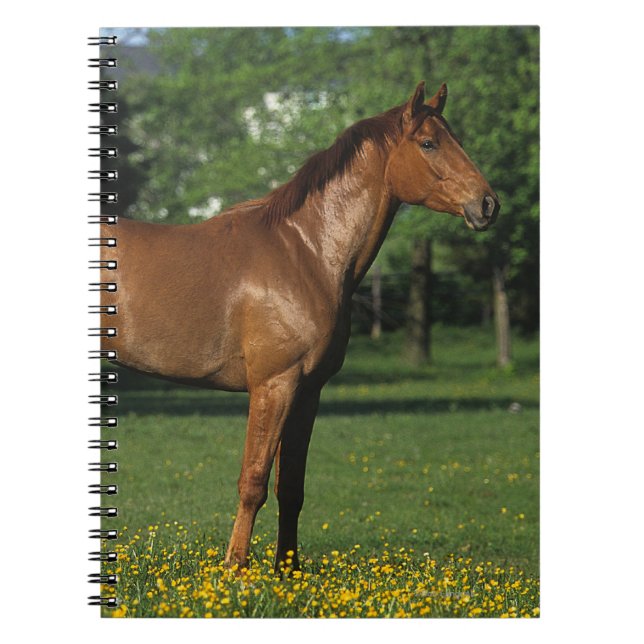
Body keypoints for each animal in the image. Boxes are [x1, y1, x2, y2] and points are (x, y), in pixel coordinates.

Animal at [100, 81, 499, 571]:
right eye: (429, 143)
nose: (487, 204)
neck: (305, 252)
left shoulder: (308, 391)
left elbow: (291, 489)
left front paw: (286, 573)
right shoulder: (274, 385)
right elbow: (253, 482)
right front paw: (235, 570)